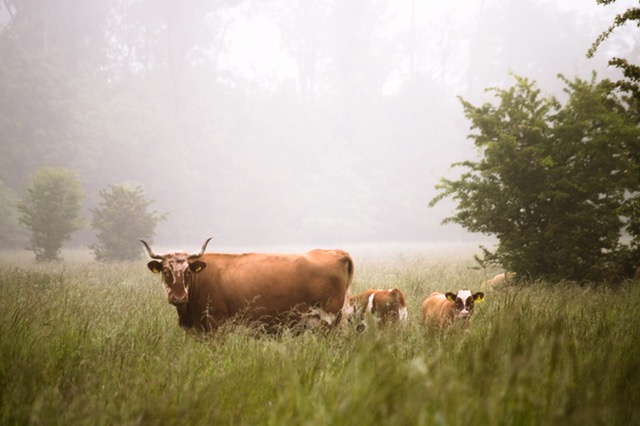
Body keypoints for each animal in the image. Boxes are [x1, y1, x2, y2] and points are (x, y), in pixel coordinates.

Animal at [140, 238, 354, 333]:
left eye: (187, 272)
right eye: (166, 271)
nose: (178, 297)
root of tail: (338, 252)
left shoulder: (216, 324)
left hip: (328, 319)